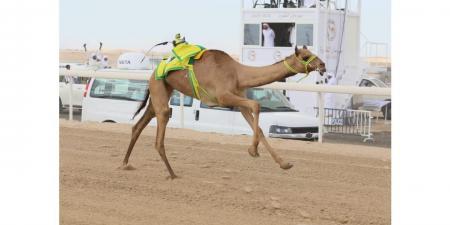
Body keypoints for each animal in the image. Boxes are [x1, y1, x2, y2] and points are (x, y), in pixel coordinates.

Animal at [120, 45, 324, 179]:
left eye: (313, 53)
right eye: (305, 56)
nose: (322, 65)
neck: (238, 74)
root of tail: (154, 71)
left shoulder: (239, 101)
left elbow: (258, 126)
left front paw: (284, 163)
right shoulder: (223, 97)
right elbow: (256, 105)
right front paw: (253, 150)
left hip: (160, 91)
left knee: (138, 125)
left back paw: (125, 163)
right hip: (159, 88)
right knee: (161, 126)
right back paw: (172, 173)